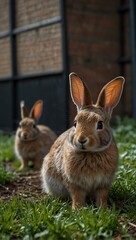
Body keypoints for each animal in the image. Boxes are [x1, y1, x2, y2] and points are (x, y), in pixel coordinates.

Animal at [41, 72, 125, 208]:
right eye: (75, 123)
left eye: (100, 124)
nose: (81, 140)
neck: (90, 153)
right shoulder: (74, 183)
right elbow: (77, 196)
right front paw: (77, 209)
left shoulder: (103, 184)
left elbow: (102, 195)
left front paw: (103, 208)